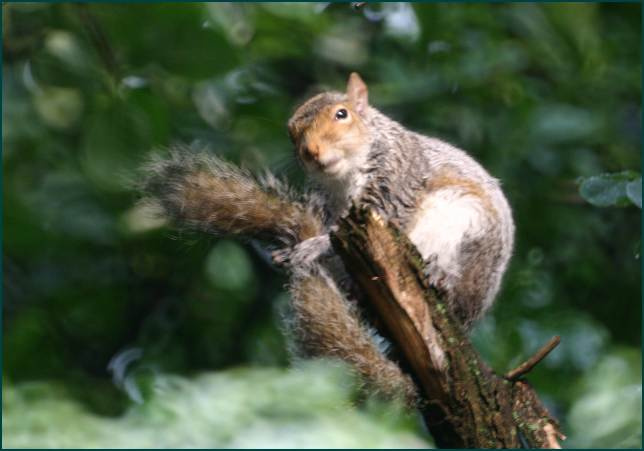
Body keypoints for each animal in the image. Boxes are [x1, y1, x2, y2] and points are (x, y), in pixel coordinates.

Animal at [140, 73, 515, 405]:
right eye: (292, 134)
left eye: (342, 114)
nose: (311, 150)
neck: (342, 180)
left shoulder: (396, 183)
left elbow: (373, 219)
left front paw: (311, 247)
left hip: (463, 226)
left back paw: (441, 276)